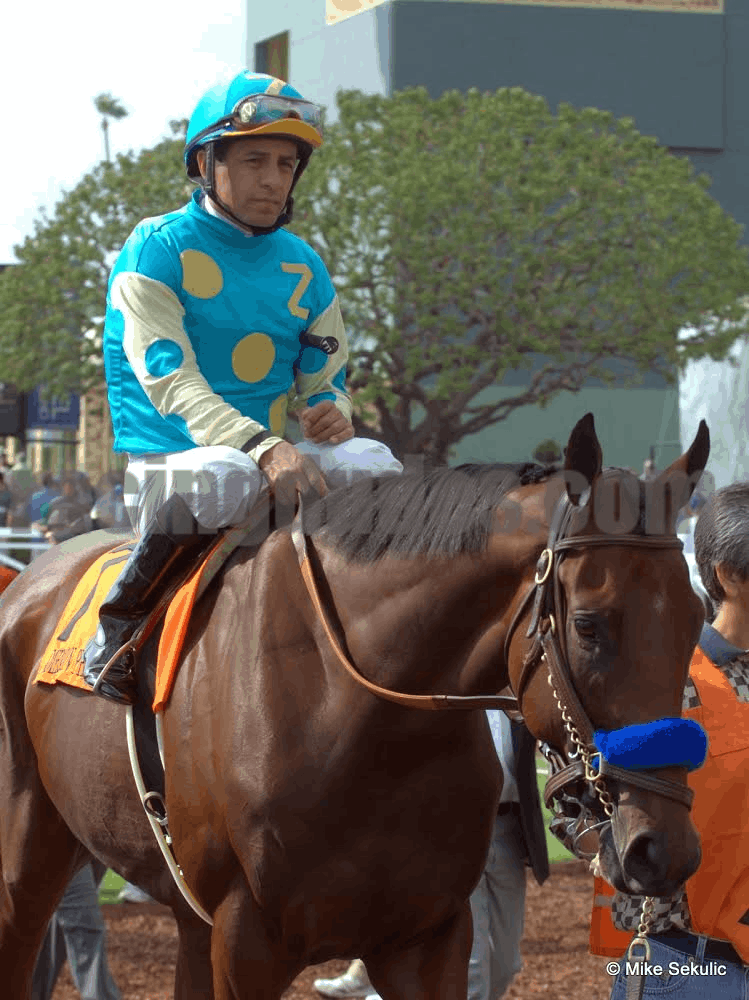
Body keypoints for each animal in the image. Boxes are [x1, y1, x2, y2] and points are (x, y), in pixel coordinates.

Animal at [0, 412, 708, 999]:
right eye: (588, 625)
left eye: (696, 617)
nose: (663, 850)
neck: (357, 725)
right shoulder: (246, 941)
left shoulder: (428, 938)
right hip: (28, 857)